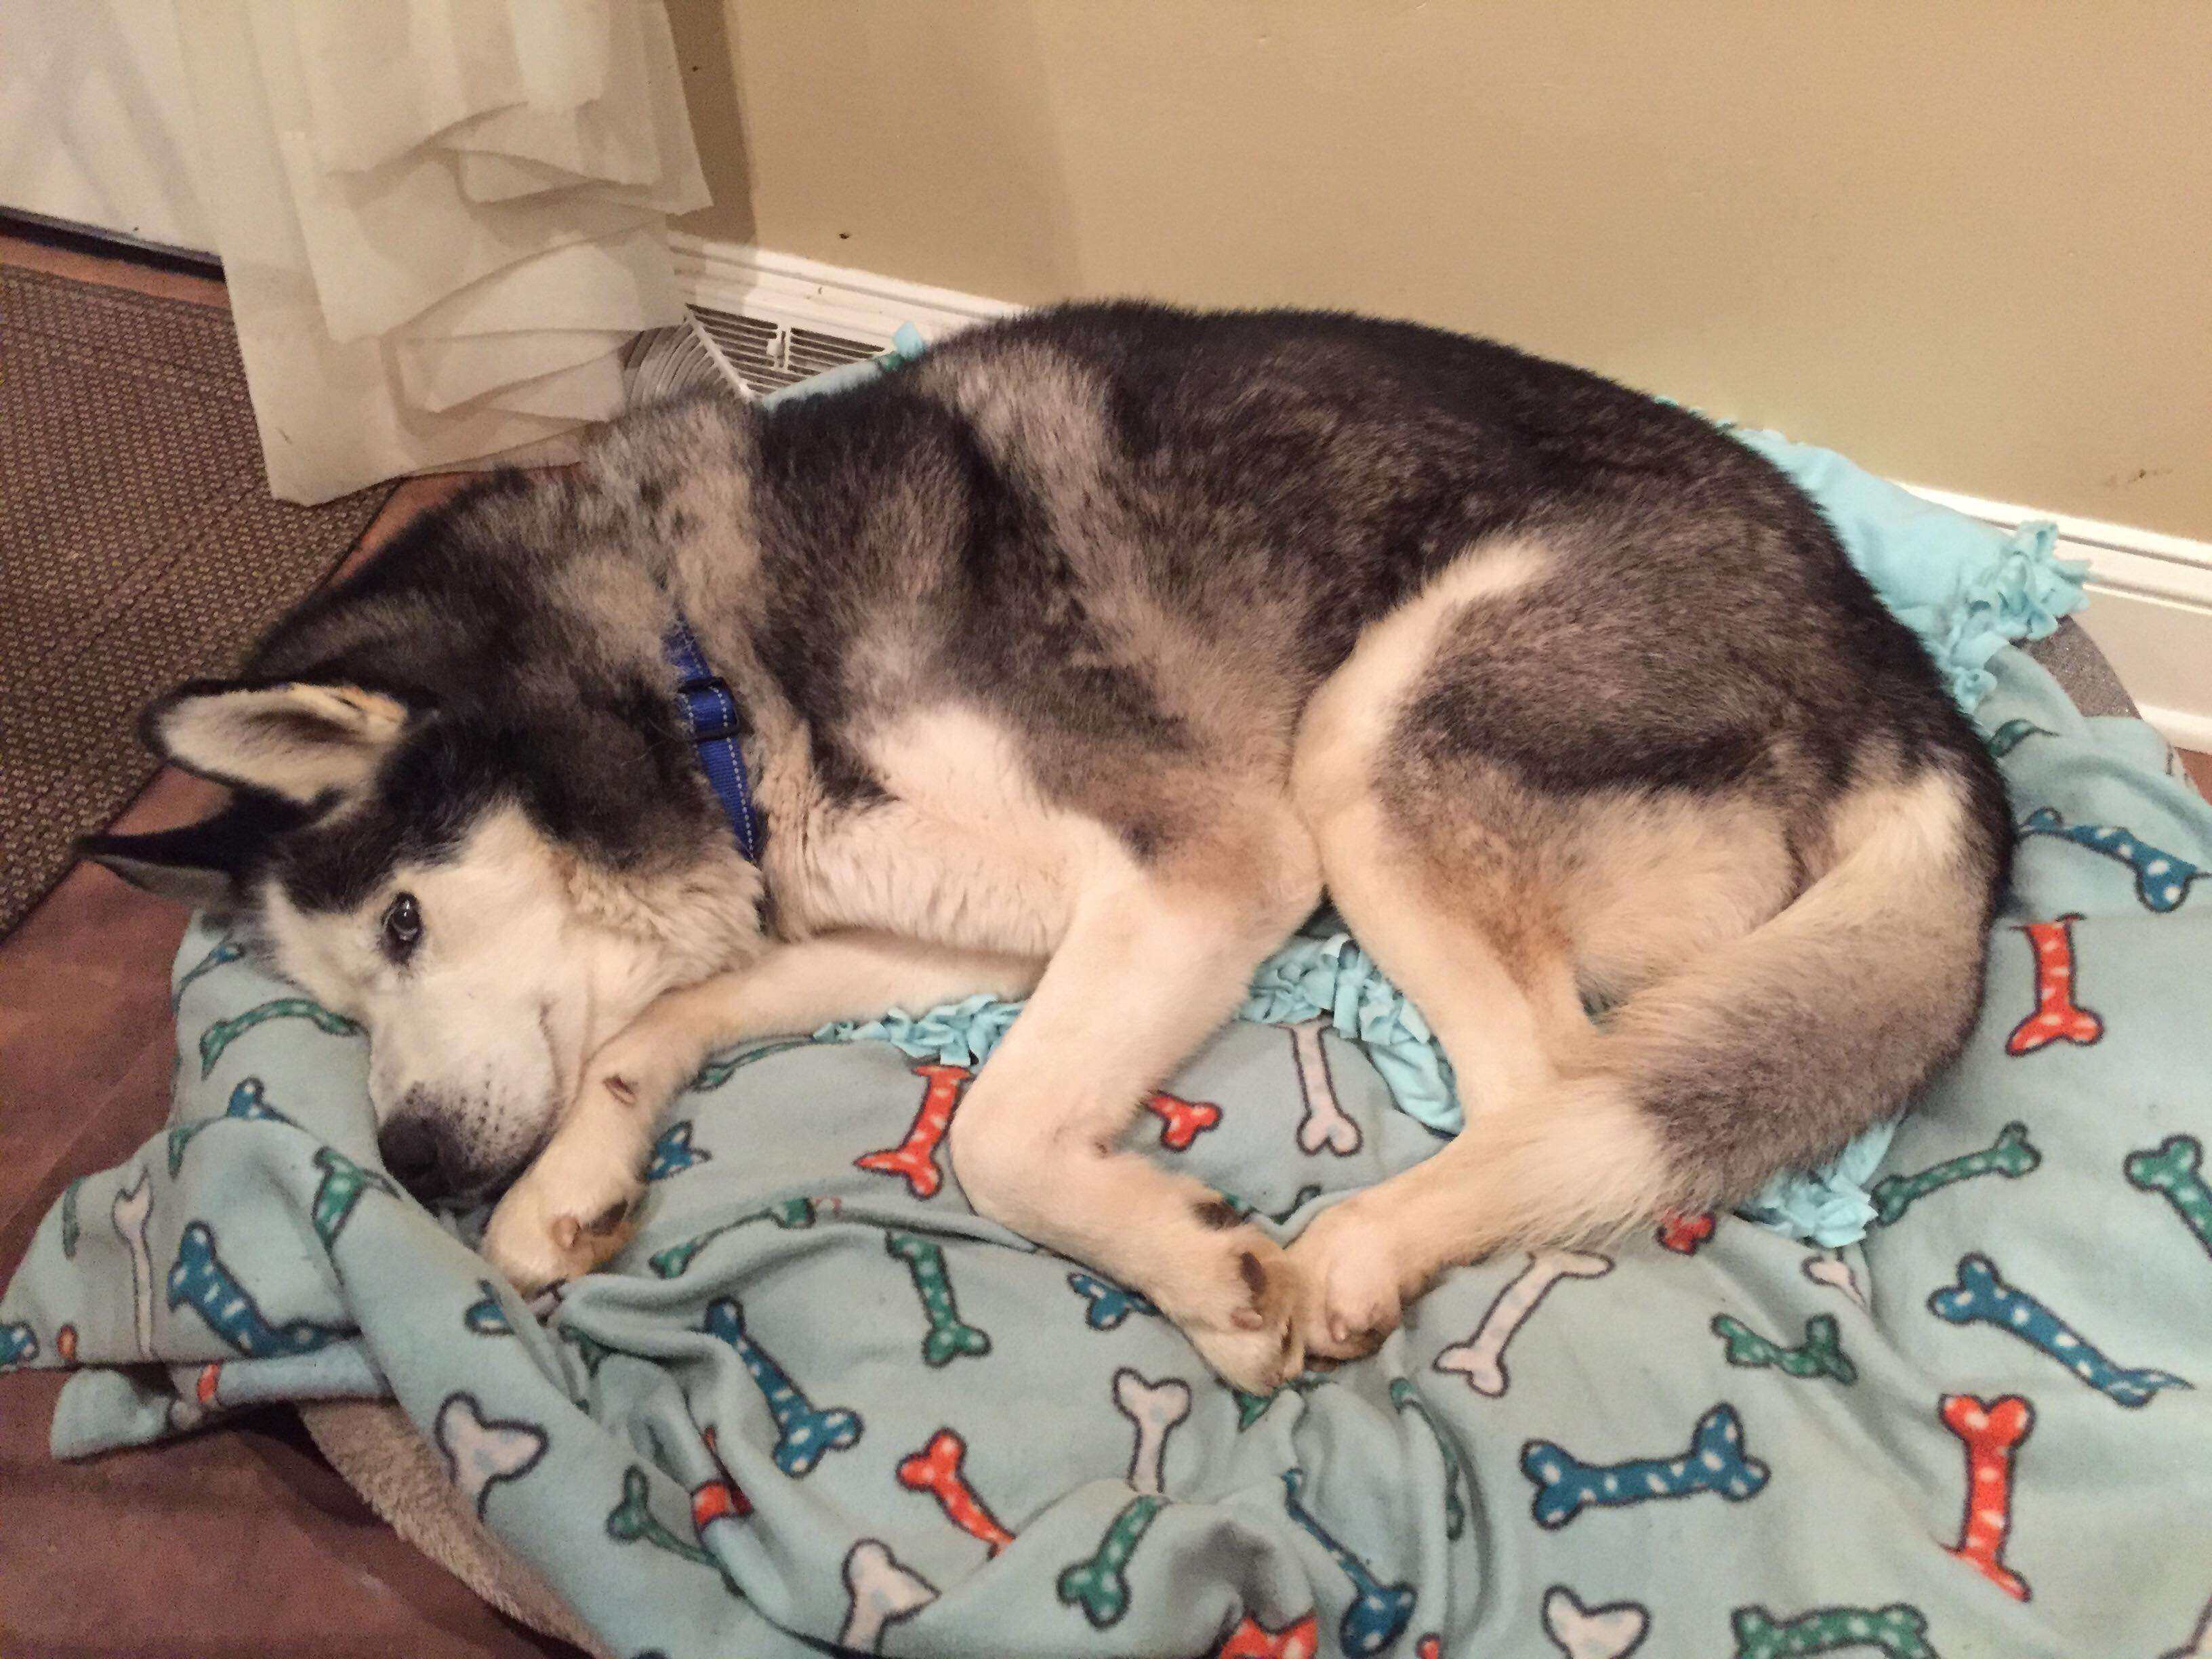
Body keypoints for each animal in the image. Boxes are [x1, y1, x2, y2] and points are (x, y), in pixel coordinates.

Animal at [95, 309, 2017, 1389]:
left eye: (407, 925)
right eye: (342, 1003)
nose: (411, 1162)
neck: (707, 672)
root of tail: (1902, 674)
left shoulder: (1207, 866)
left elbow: (999, 1136)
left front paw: (1209, 1279)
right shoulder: (955, 931)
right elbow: (660, 1020)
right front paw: (574, 1177)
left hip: (1367, 747)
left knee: (1549, 1086)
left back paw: (1356, 1254)